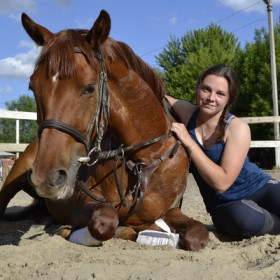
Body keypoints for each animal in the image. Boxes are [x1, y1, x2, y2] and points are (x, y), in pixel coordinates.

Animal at [0, 10, 209, 252]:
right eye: (33, 87)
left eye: (90, 88)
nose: (46, 177)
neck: (145, 158)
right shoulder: (81, 204)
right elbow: (105, 221)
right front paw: (68, 230)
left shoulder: (171, 209)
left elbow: (196, 233)